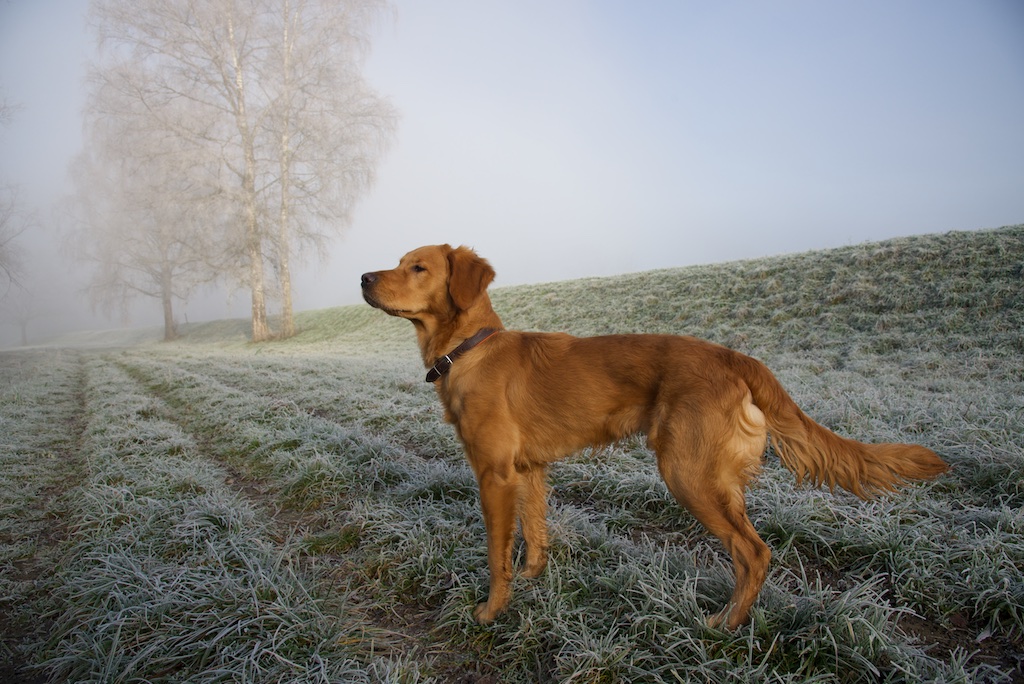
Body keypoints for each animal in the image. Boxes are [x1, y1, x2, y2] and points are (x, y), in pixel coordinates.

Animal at [362, 242, 950, 626]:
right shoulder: (528, 470)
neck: (469, 350)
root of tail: (736, 357)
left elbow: (496, 552)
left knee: (754, 552)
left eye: (417, 267)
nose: (364, 278)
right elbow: (536, 534)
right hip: (709, 477)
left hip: (687, 472)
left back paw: (724, 626)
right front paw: (532, 581)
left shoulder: (494, 474)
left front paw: (491, 612)